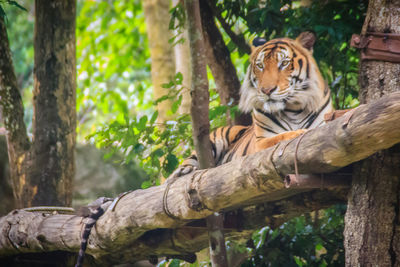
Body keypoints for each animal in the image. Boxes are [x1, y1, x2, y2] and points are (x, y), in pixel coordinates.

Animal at [173, 31, 332, 178]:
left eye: (284, 63)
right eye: (260, 66)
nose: (266, 90)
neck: (294, 109)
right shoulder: (260, 142)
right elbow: (280, 137)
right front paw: (299, 132)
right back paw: (183, 171)